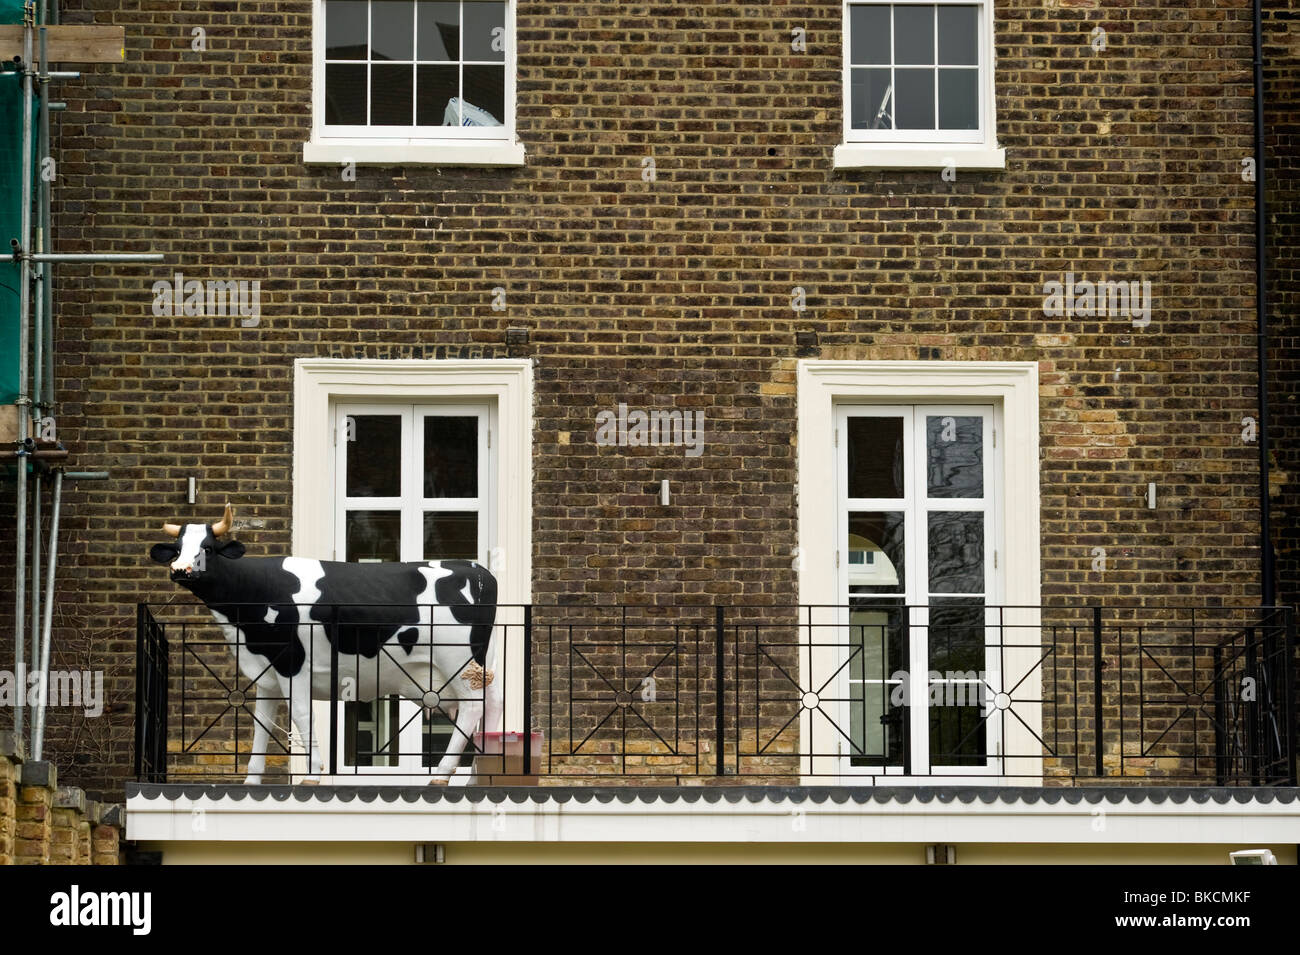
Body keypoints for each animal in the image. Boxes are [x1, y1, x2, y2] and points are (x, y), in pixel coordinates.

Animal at [149, 504, 499, 779]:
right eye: (177, 548)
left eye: (207, 548)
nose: (180, 569)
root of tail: (478, 569)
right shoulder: (267, 673)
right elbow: (263, 724)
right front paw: (252, 781)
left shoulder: (292, 665)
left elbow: (303, 715)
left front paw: (312, 773)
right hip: (482, 666)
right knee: (492, 705)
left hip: (459, 663)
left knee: (471, 708)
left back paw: (441, 774)